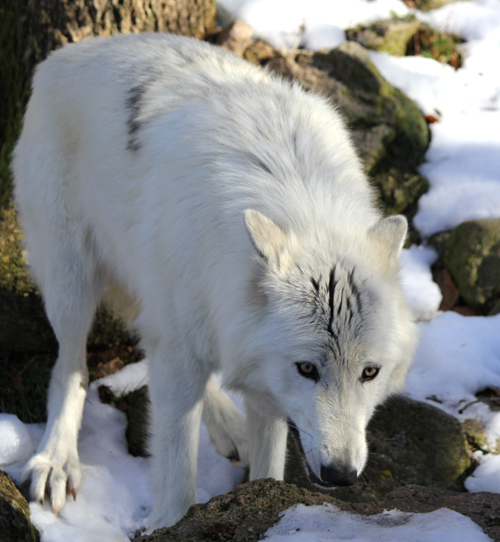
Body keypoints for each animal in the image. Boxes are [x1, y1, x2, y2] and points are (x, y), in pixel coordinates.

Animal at [13, 33, 418, 531]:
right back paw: (56, 459)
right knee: (71, 368)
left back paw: (230, 428)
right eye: (307, 368)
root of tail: (64, 54)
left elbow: (268, 463)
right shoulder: (187, 344)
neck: (305, 208)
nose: (340, 475)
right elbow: (175, 466)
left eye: (370, 372)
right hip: (72, 282)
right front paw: (171, 523)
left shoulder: (255, 375)